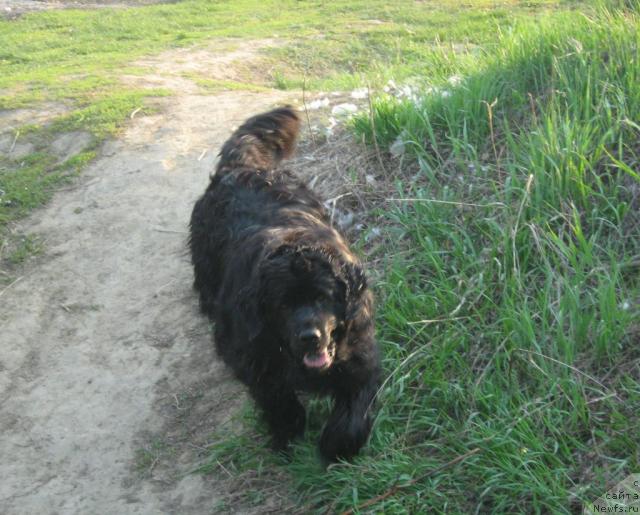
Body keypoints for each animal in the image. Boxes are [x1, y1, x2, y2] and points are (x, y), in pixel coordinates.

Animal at [190, 107, 380, 462]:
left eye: (323, 297)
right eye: (283, 305)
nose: (309, 336)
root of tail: (239, 168)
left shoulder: (360, 354)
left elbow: (354, 408)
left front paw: (335, 446)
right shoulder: (255, 360)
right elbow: (277, 400)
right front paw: (288, 435)